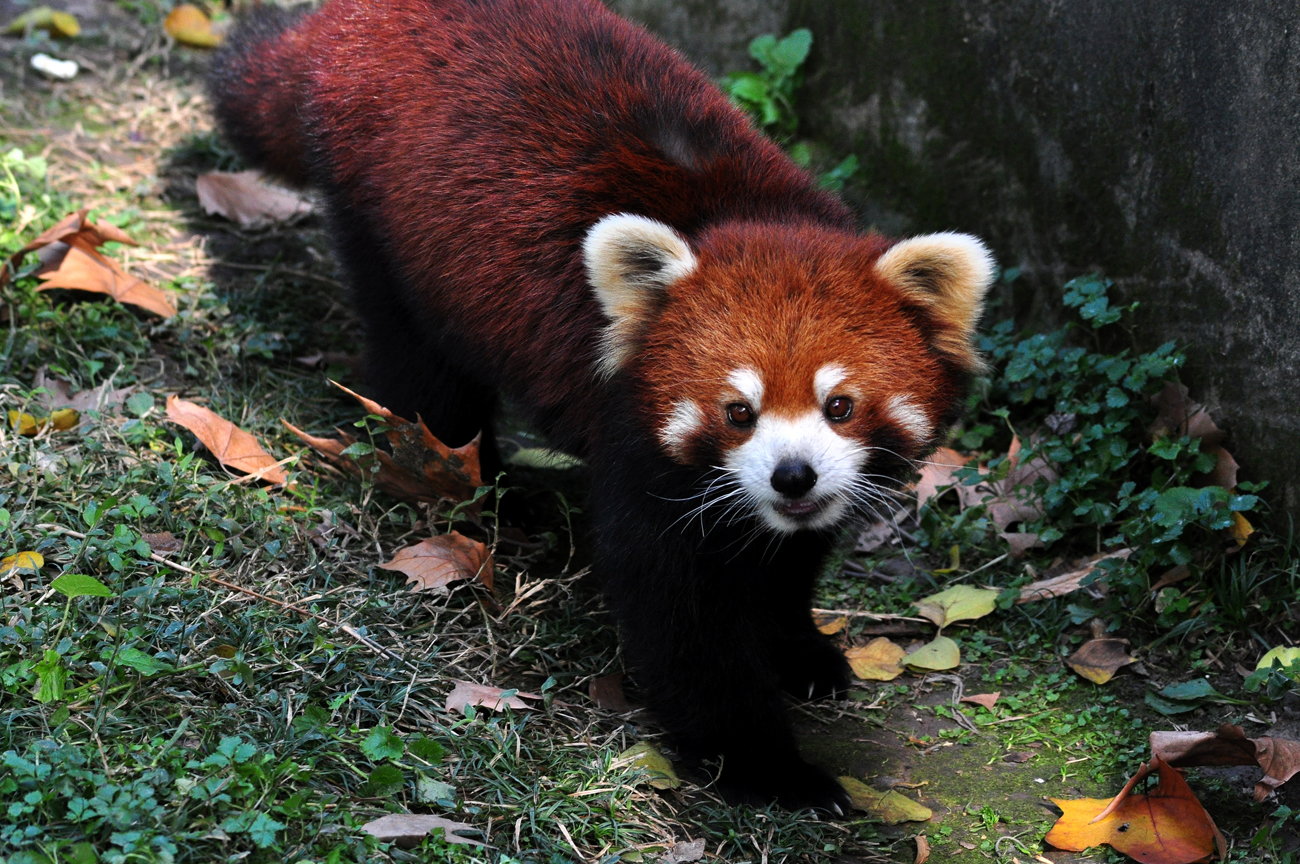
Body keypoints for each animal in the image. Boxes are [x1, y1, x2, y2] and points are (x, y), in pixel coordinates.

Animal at [208, 0, 987, 810]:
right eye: (738, 411)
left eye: (839, 405)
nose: (792, 475)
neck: (754, 216)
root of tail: (356, 20)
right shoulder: (633, 443)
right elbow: (680, 618)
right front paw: (769, 768)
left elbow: (785, 561)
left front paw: (800, 650)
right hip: (382, 223)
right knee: (422, 369)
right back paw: (479, 489)